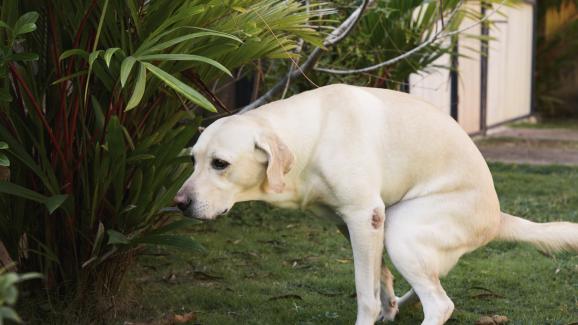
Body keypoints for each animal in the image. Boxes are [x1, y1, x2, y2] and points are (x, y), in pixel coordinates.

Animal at [174, 84, 576, 324]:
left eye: (220, 164)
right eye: (193, 159)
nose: (178, 203)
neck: (314, 135)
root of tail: (496, 218)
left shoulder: (362, 217)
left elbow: (365, 294)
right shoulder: (355, 222)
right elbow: (380, 277)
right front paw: (390, 307)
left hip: (404, 230)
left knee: (441, 304)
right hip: (400, 229)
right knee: (431, 282)